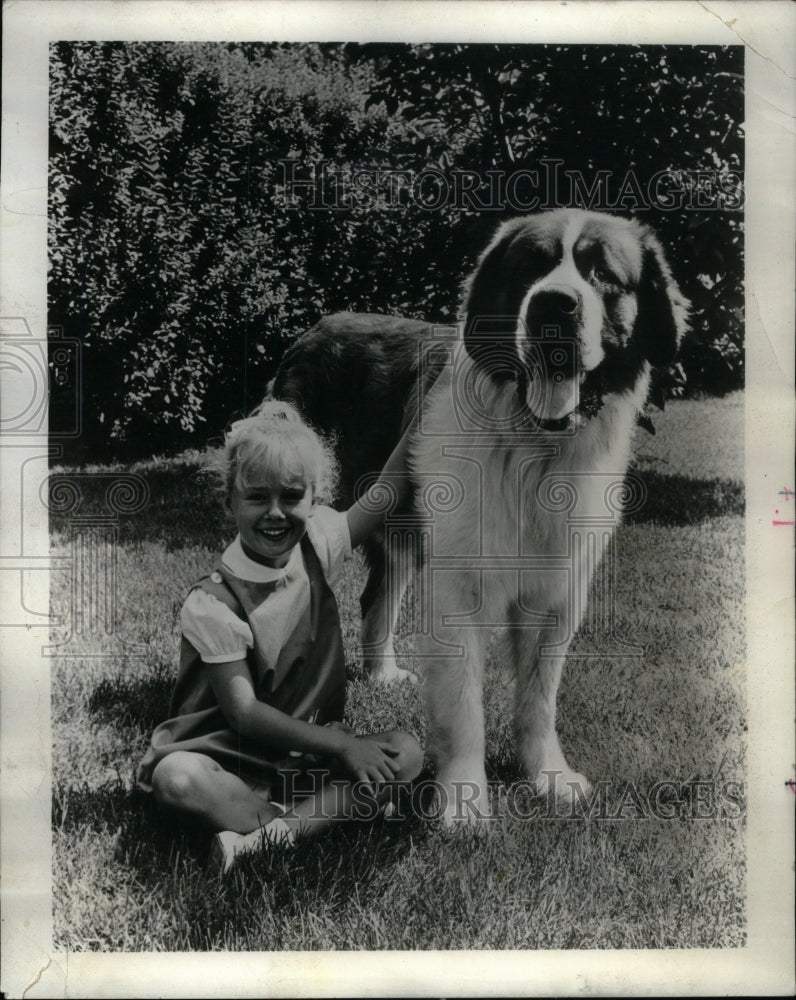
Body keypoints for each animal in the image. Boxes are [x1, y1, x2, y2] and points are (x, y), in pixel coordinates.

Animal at [270, 207, 688, 824]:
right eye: (531, 266)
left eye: (603, 275)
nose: (554, 305)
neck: (535, 451)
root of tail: (315, 329)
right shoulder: (461, 588)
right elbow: (463, 706)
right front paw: (463, 803)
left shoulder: (556, 592)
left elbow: (539, 698)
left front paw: (548, 777)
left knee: (377, 597)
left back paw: (382, 675)